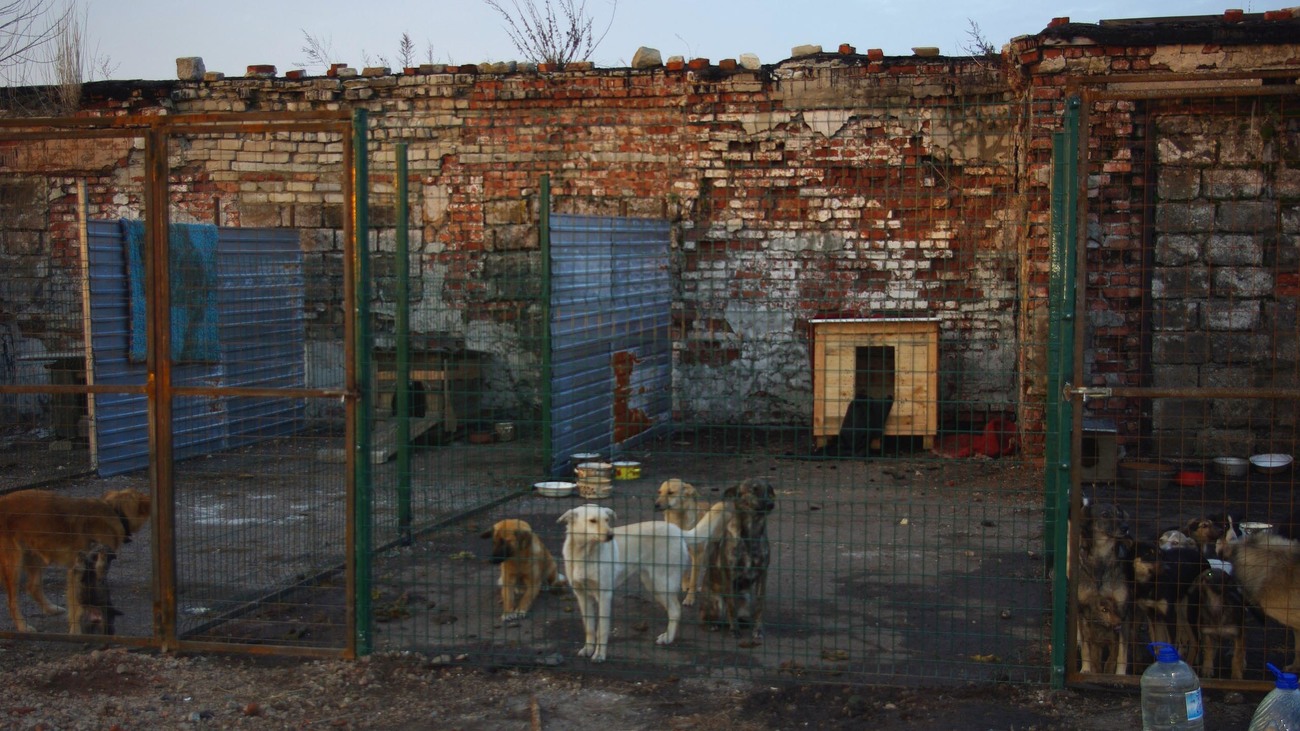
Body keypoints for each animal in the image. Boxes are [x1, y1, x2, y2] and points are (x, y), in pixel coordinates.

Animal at [0, 489, 150, 632]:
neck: (116, 511)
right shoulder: (77, 572)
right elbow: (77, 608)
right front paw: (75, 630)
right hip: (15, 564)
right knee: (12, 602)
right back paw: (23, 626)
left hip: (37, 555)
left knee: (33, 587)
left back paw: (51, 609)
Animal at [553, 499, 728, 660]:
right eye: (592, 521)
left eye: (607, 520)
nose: (611, 535)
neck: (584, 554)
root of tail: (677, 530)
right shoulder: (582, 596)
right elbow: (589, 627)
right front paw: (588, 649)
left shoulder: (604, 595)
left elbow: (601, 629)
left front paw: (600, 654)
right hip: (652, 584)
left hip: (662, 583)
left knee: (676, 610)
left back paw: (668, 638)